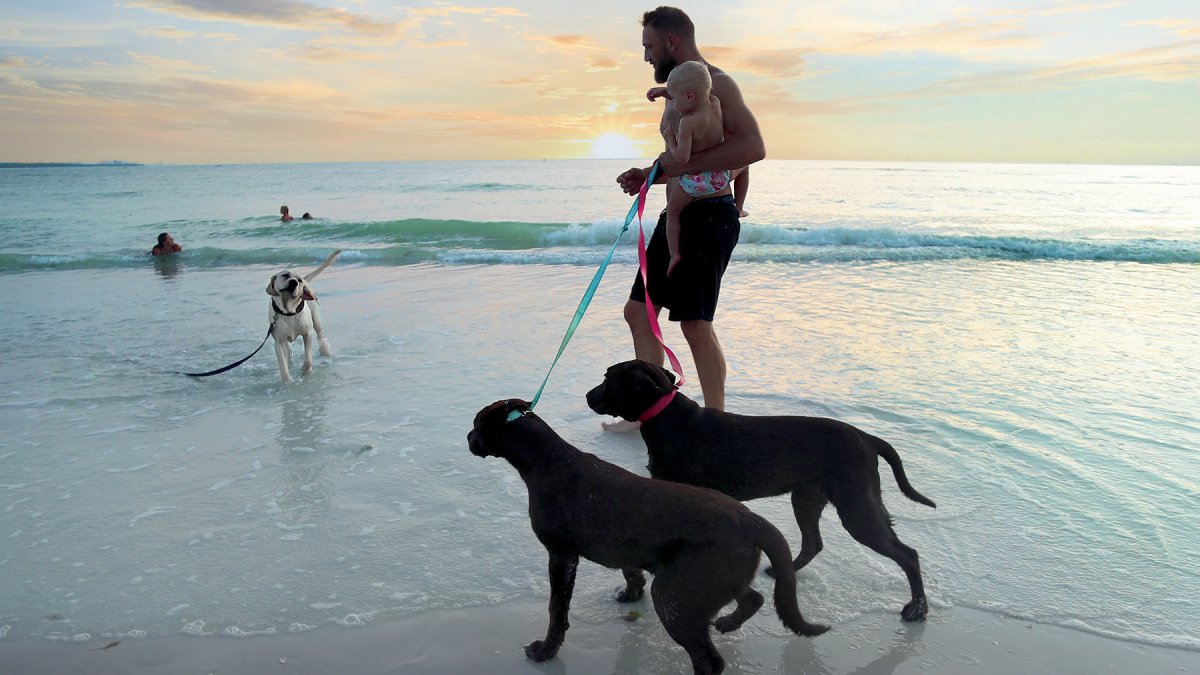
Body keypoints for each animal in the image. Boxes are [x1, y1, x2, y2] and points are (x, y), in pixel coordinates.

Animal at [262, 249, 338, 381]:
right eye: (285, 275)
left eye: (299, 280)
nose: (294, 282)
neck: (289, 311)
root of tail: (307, 280)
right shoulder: (278, 341)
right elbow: (283, 366)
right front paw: (288, 381)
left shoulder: (307, 334)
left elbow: (308, 359)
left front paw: (305, 371)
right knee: (288, 349)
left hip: (316, 320)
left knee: (320, 335)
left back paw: (325, 351)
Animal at [465, 396, 825, 667]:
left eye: (476, 424)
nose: (468, 439)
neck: (546, 460)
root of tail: (752, 520)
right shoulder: (622, 543)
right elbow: (630, 568)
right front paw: (631, 592)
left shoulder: (561, 555)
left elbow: (557, 610)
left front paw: (545, 651)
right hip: (714, 579)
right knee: (753, 597)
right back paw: (728, 622)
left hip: (675, 594)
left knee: (709, 659)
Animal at [588, 360, 936, 624]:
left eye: (607, 379)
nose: (588, 395)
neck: (667, 416)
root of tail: (868, 439)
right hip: (808, 497)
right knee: (813, 542)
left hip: (856, 505)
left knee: (908, 555)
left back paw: (917, 609)